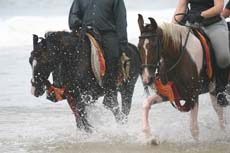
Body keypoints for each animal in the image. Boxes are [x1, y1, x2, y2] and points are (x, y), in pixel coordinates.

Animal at [137, 14, 226, 143]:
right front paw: (150, 137)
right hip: (213, 91)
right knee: (219, 112)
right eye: (139, 46)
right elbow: (146, 104)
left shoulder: (193, 96)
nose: (147, 79)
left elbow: (194, 129)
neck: (178, 58)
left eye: (154, 45)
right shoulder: (169, 93)